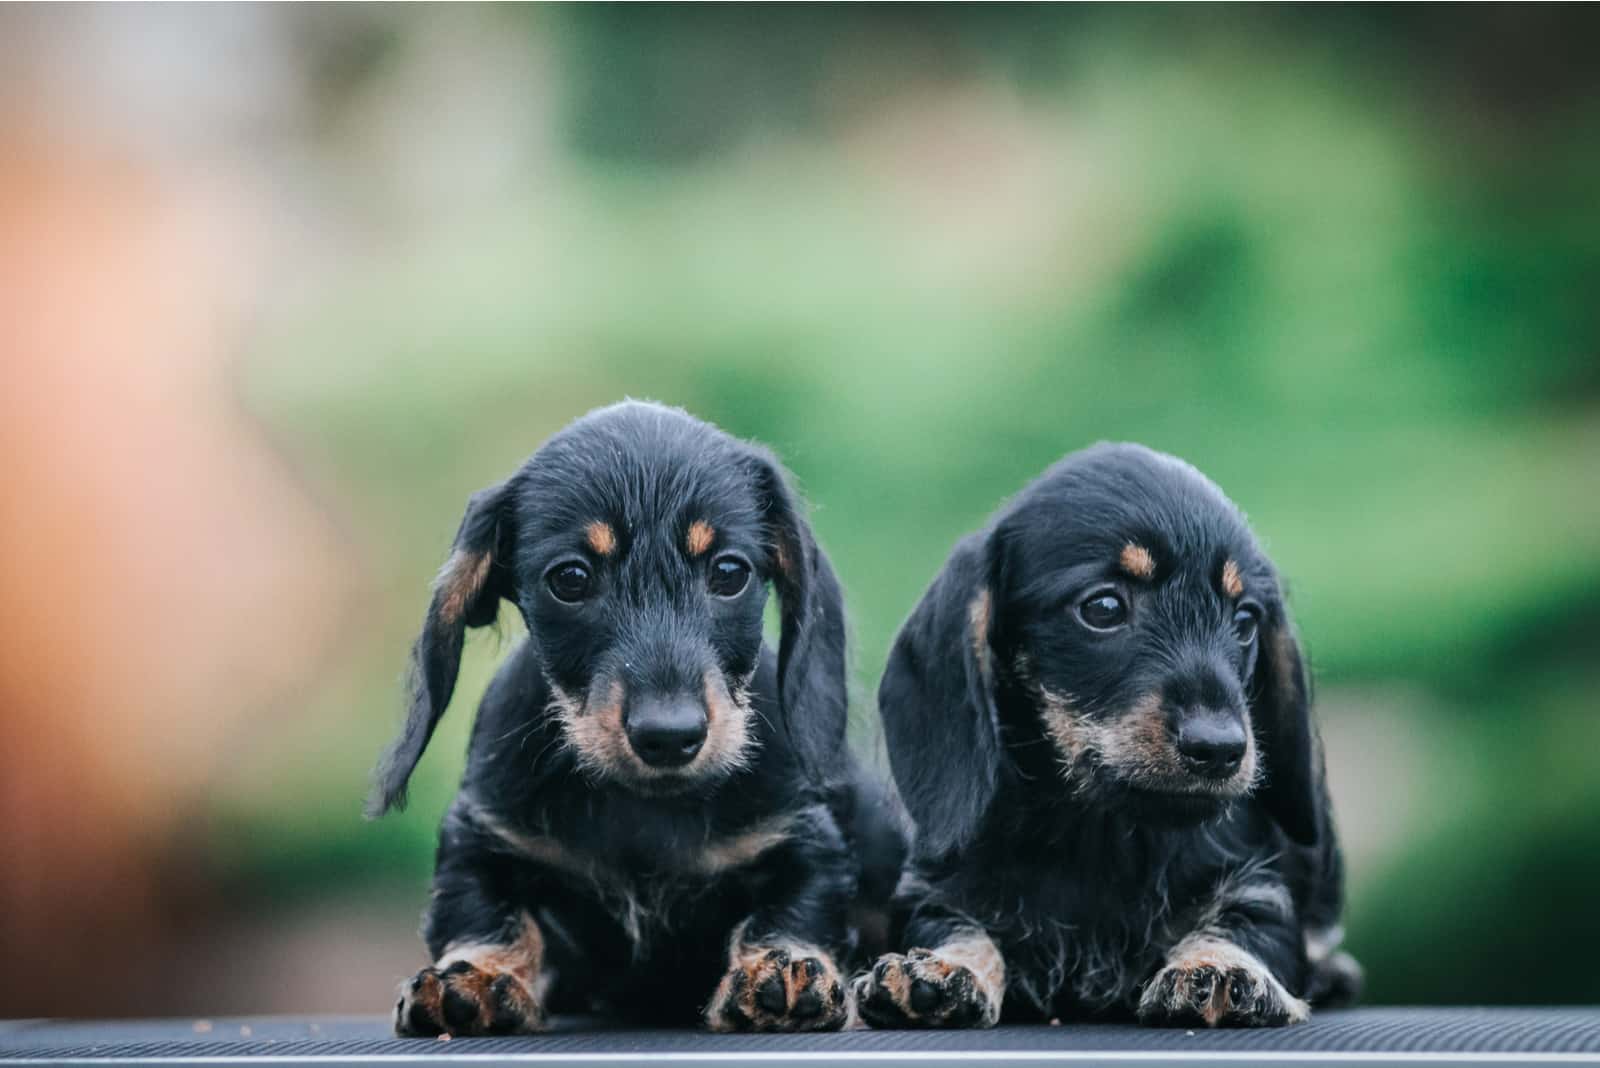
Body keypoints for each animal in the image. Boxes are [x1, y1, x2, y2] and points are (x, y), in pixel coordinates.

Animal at [368, 399, 908, 1036]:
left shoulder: (806, 839)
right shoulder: (477, 837)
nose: (669, 736)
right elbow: (484, 915)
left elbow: (789, 914)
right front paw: (472, 977)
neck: (644, 809)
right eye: (570, 578)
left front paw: (782, 973)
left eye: (729, 572)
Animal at [857, 441, 1356, 1023]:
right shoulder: (935, 890)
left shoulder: (1261, 888)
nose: (1220, 749)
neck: (1104, 836)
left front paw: (1219, 968)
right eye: (1103, 607)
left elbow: (1243, 926)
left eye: (1246, 620)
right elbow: (957, 927)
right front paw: (942, 970)